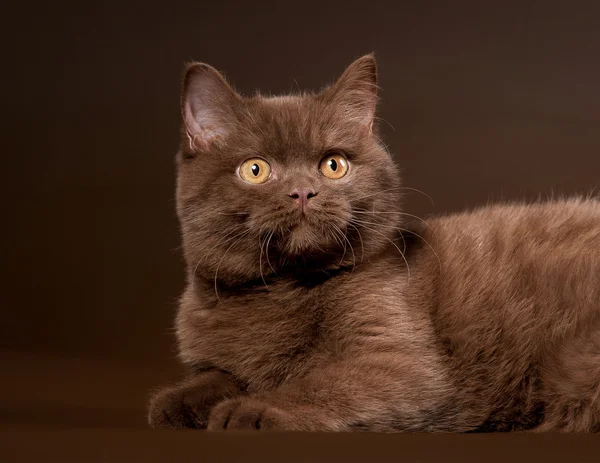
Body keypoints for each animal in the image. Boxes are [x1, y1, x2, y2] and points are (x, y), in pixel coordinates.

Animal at [148, 55, 600, 436]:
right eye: (255, 170)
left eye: (333, 165)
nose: (303, 191)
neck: (278, 291)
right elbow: (213, 376)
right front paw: (176, 402)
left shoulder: (398, 362)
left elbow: (320, 382)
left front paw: (252, 409)